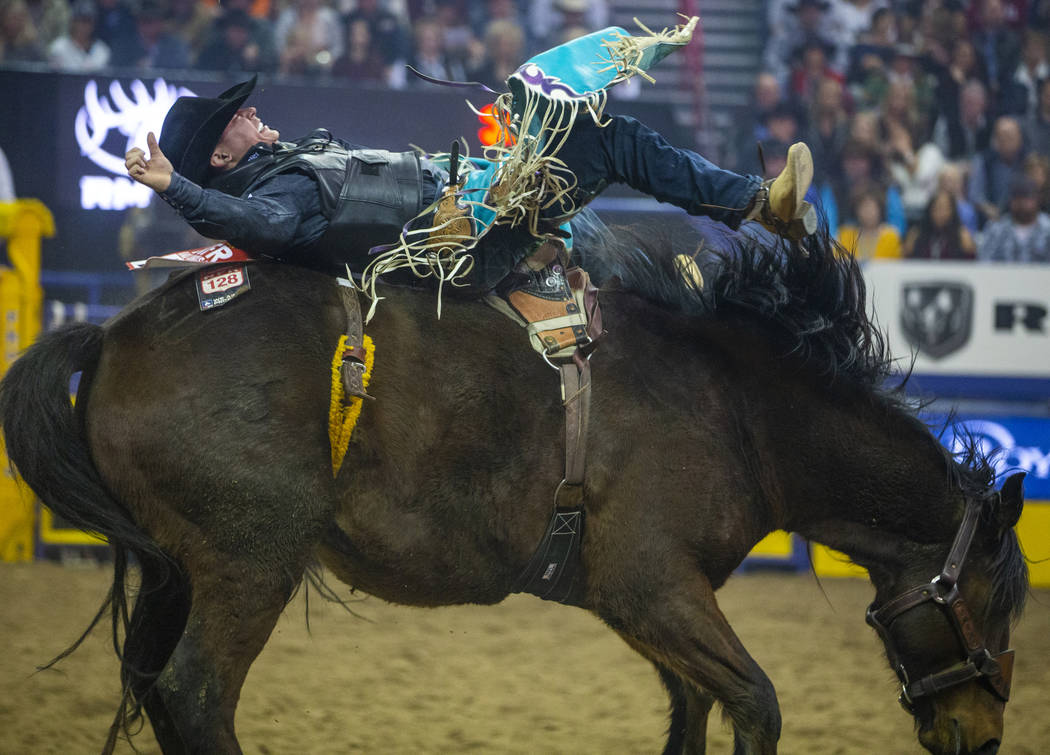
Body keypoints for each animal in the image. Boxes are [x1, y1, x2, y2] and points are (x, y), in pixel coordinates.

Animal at [0, 225, 1029, 755]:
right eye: (997, 603)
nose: (981, 735)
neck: (740, 410)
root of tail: (115, 332)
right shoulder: (656, 585)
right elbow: (757, 702)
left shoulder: (639, 601)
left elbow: (695, 710)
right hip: (250, 558)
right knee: (197, 692)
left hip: (177, 568)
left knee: (156, 686)